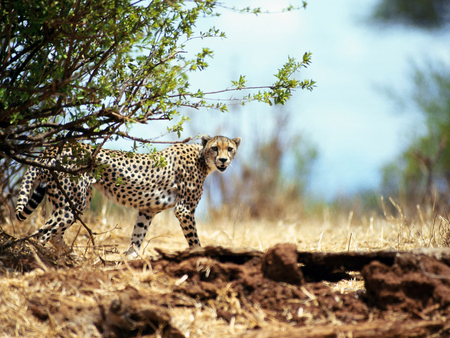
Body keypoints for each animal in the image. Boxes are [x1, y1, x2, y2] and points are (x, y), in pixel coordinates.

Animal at [14, 135, 241, 256]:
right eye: (215, 148)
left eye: (230, 148)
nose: (223, 160)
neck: (202, 158)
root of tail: (53, 147)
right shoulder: (184, 210)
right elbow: (194, 240)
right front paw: (200, 256)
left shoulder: (147, 210)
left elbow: (137, 236)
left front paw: (129, 258)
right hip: (74, 203)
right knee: (43, 232)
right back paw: (42, 258)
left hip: (68, 201)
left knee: (54, 233)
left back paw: (71, 256)